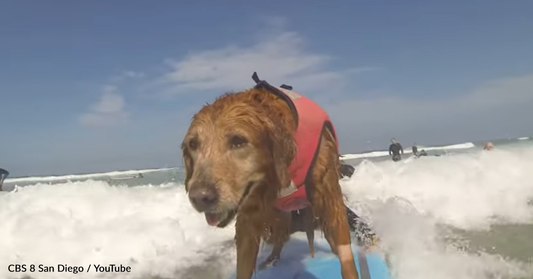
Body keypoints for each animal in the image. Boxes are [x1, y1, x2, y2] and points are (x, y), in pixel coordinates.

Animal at [181, 72, 360, 279]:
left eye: (238, 141)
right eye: (193, 144)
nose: (200, 198)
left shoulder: (330, 197)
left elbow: (346, 259)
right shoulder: (248, 218)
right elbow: (243, 265)